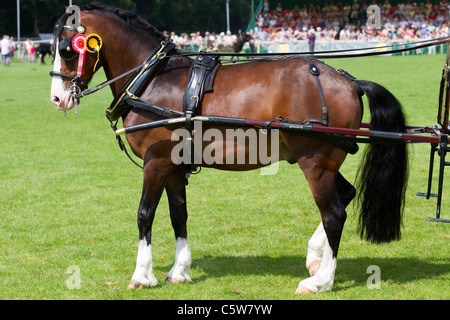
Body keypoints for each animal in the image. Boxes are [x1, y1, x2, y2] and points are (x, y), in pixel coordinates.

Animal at [49, 3, 408, 296]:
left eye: (67, 50)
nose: (57, 98)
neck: (153, 79)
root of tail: (349, 81)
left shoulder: (156, 162)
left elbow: (144, 214)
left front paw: (142, 275)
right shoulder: (174, 166)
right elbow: (178, 215)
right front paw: (179, 271)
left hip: (315, 162)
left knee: (334, 213)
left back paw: (320, 281)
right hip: (324, 161)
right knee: (345, 195)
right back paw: (315, 258)